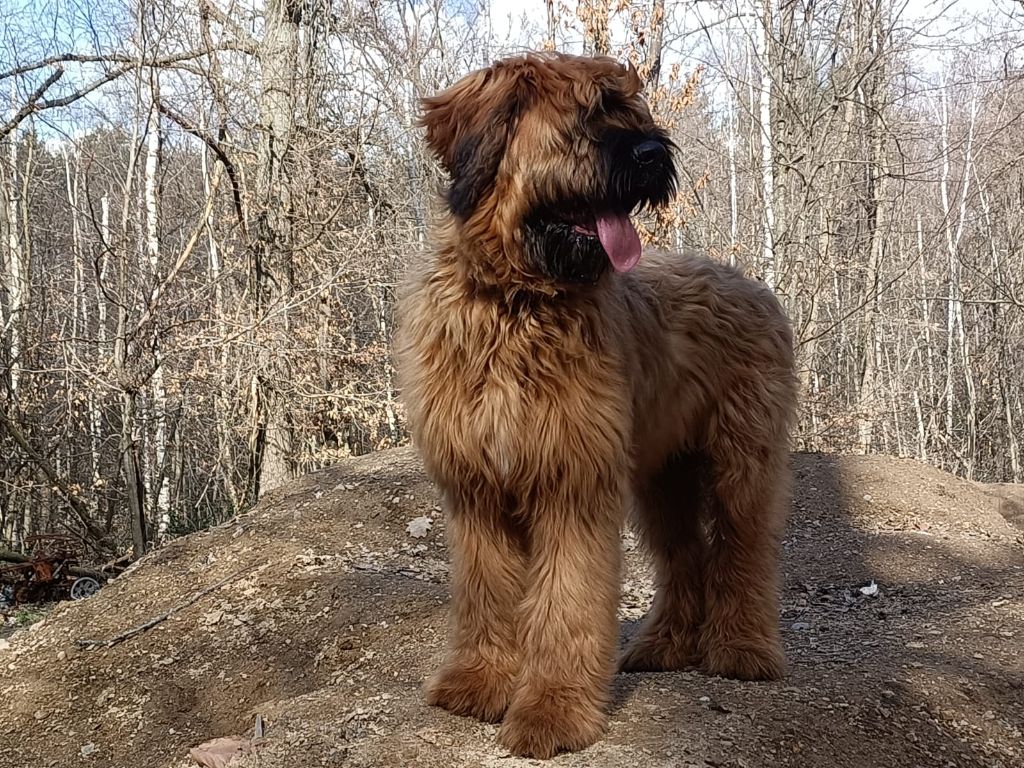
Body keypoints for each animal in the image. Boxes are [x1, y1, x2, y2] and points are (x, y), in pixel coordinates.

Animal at [393, 54, 798, 765]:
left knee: (743, 552)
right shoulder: (477, 489)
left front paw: (552, 712)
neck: (516, 305)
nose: (654, 154)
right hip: (661, 475)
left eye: (634, 110)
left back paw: (742, 649)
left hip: (741, 463)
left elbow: (567, 602)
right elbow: (487, 591)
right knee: (685, 555)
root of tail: (750, 282)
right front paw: (479, 683)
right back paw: (665, 644)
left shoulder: (572, 480)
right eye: (586, 115)